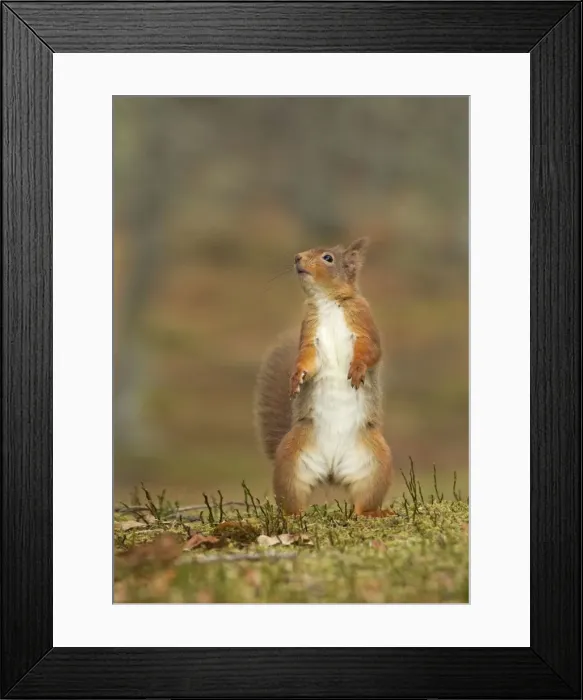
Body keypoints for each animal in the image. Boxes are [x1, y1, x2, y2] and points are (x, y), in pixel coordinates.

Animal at [254, 237, 393, 515]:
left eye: (328, 258)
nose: (297, 257)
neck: (328, 303)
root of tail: (332, 471)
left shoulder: (365, 323)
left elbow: (371, 350)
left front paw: (357, 369)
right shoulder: (310, 335)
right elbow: (307, 359)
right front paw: (296, 377)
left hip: (377, 464)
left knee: (364, 502)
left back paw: (374, 513)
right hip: (290, 462)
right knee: (292, 499)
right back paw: (294, 516)